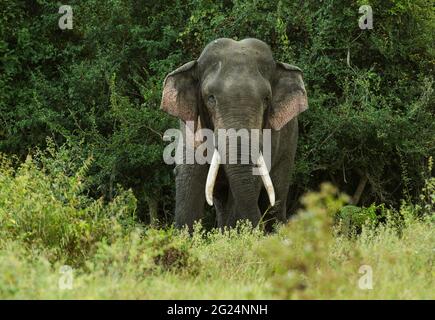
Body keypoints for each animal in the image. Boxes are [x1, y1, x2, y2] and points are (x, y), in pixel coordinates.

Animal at [162, 38, 308, 230]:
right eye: (211, 98)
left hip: (289, 143)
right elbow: (188, 177)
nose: (257, 229)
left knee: (276, 194)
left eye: (266, 99)